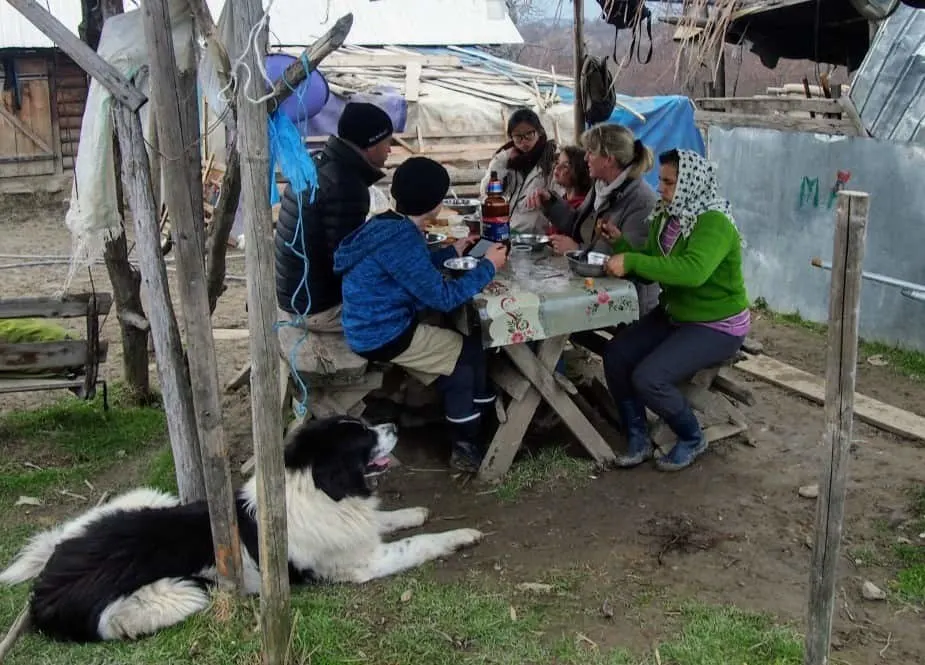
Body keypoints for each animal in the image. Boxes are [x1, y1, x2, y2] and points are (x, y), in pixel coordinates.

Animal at [1, 418, 484, 640]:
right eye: (365, 437)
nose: (393, 426)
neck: (314, 487)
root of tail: (46, 587)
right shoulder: (360, 563)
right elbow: (415, 545)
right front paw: (460, 536)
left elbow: (386, 519)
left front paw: (415, 511)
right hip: (174, 596)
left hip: (147, 499)